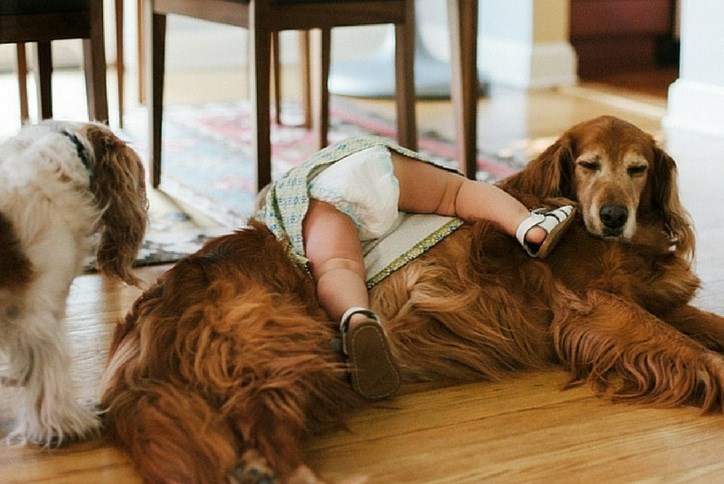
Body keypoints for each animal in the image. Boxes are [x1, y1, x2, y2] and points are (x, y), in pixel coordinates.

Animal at [97, 115, 724, 482]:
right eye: (590, 165)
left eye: (638, 170)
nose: (613, 214)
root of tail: (157, 298)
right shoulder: (599, 309)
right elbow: (685, 346)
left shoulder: (657, 299)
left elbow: (704, 323)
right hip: (285, 342)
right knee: (263, 418)